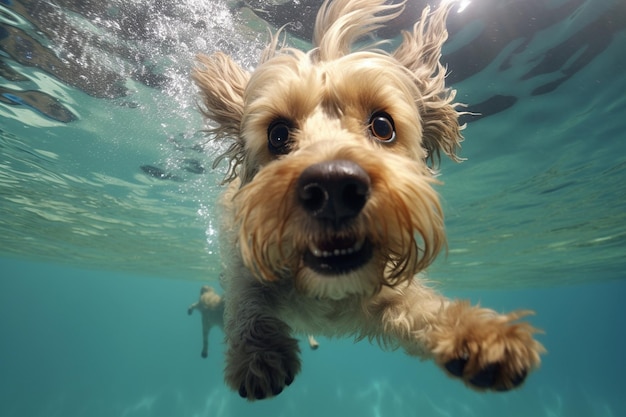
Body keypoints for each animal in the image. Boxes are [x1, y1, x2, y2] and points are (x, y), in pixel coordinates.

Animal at [193, 0, 544, 400]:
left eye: (383, 126)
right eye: (278, 134)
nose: (333, 188)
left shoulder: (392, 295)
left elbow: (424, 307)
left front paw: (480, 335)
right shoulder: (243, 266)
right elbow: (246, 302)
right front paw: (258, 354)